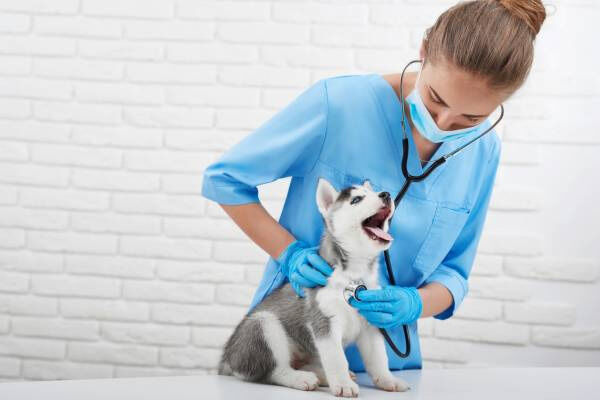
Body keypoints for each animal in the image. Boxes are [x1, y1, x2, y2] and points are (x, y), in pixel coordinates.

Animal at [217, 177, 410, 397]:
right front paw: (343, 384)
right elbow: (337, 359)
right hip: (262, 325)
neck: (353, 275)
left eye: (374, 192)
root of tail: (226, 359)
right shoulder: (325, 323)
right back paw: (301, 378)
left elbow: (378, 358)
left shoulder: (370, 323)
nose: (386, 194)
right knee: (273, 371)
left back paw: (322, 375)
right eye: (356, 199)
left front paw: (388, 379)